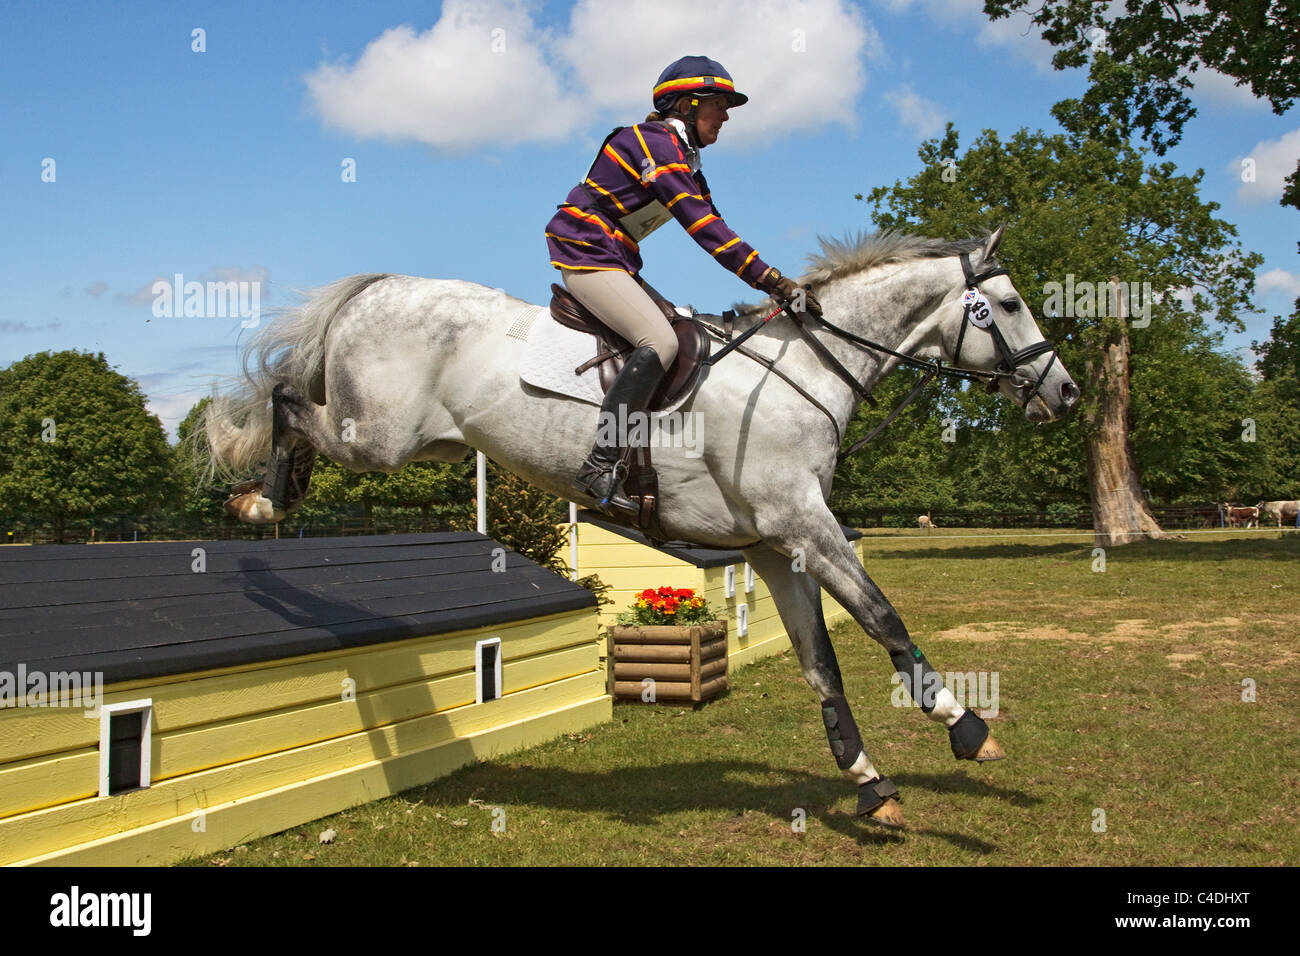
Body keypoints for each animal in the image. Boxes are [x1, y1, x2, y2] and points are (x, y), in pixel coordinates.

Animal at [202, 226, 1079, 828]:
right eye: (1007, 305)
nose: (1065, 393)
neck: (804, 371)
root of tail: (377, 287)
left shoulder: (776, 548)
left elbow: (821, 664)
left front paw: (870, 784)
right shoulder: (804, 526)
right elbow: (882, 618)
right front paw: (968, 729)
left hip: (423, 442)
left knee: (294, 402)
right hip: (375, 438)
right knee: (285, 399)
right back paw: (261, 504)